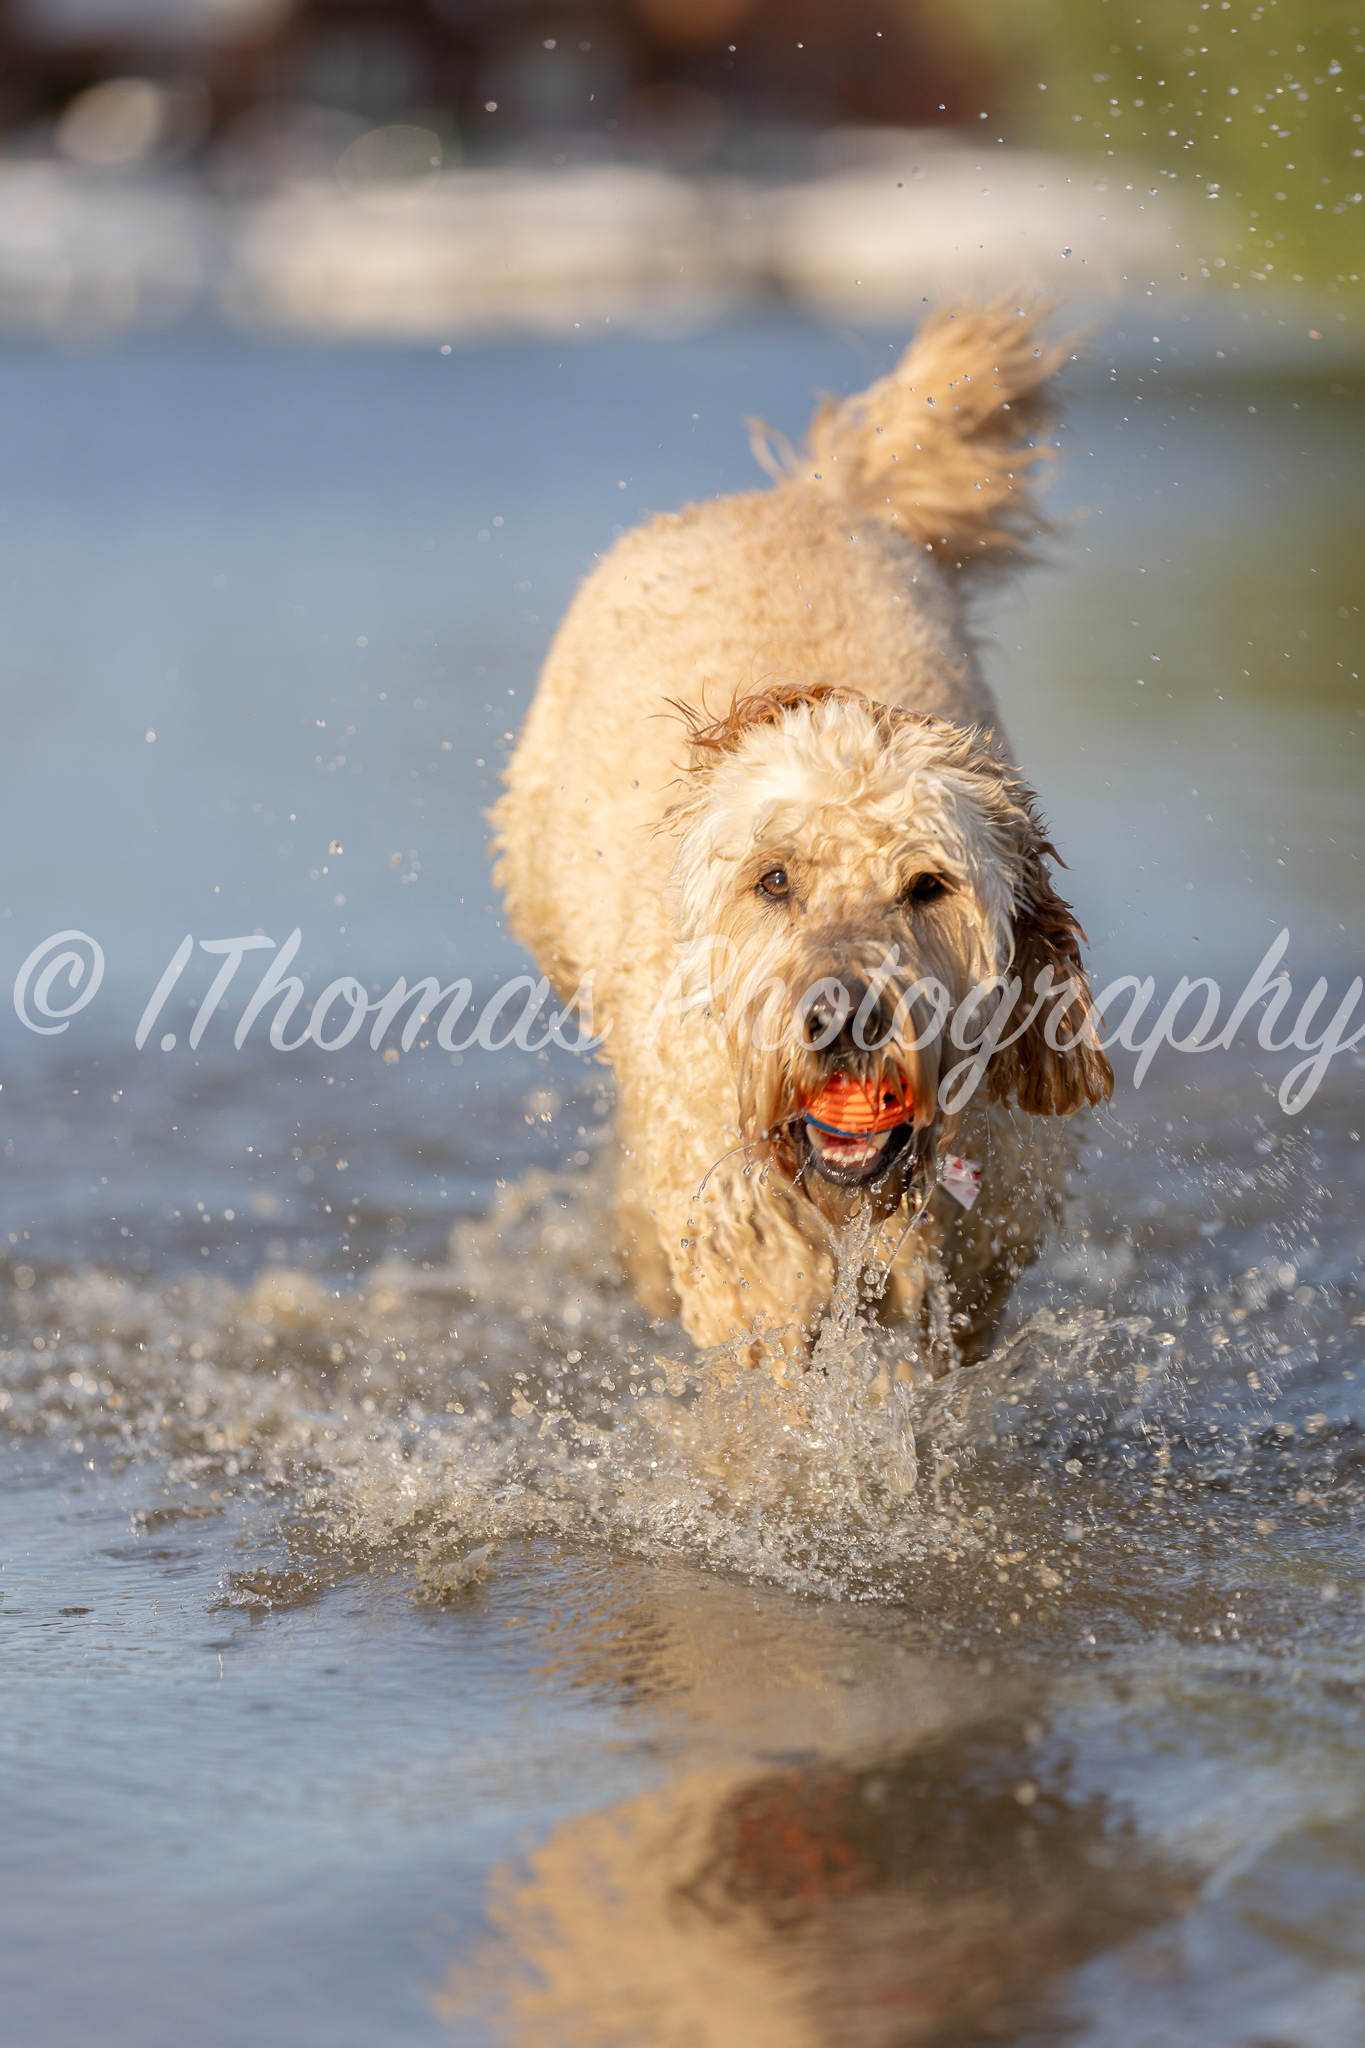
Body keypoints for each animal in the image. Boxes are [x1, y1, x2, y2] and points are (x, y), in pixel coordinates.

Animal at [494, 300, 1111, 1367]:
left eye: (927, 886)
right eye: (773, 880)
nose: (842, 1019)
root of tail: (805, 494)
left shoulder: (985, 1236)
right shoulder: (737, 1226)